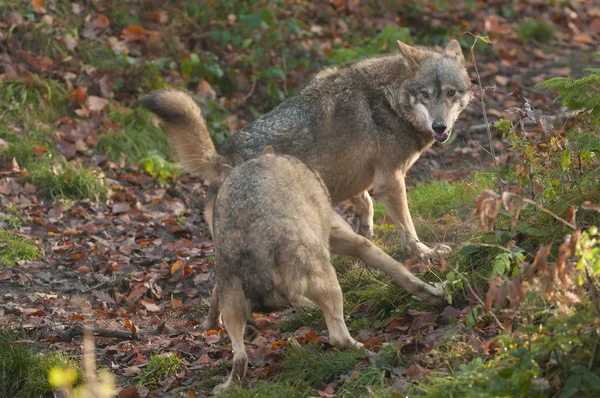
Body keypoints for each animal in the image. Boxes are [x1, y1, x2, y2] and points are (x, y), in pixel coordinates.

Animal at [142, 38, 474, 260]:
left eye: (450, 94)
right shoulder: (390, 180)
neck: (390, 100)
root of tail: (223, 158)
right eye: (426, 95)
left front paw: (366, 236)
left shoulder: (356, 175)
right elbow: (408, 227)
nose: (439, 127)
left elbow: (365, 204)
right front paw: (425, 253)